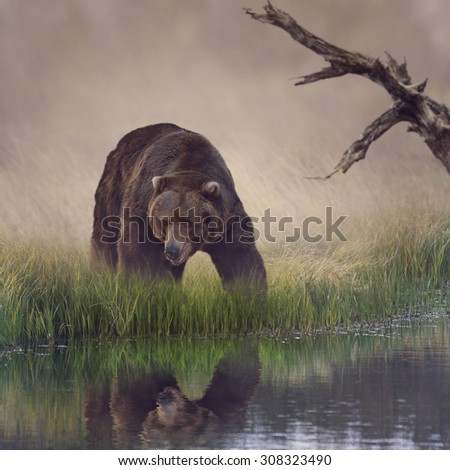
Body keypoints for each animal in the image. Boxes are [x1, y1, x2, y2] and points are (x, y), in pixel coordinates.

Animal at [92, 123, 268, 292]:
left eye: (188, 221)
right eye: (165, 220)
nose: (171, 250)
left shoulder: (227, 218)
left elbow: (240, 258)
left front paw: (247, 293)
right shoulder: (143, 210)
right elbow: (139, 254)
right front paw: (140, 286)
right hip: (113, 188)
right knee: (105, 239)